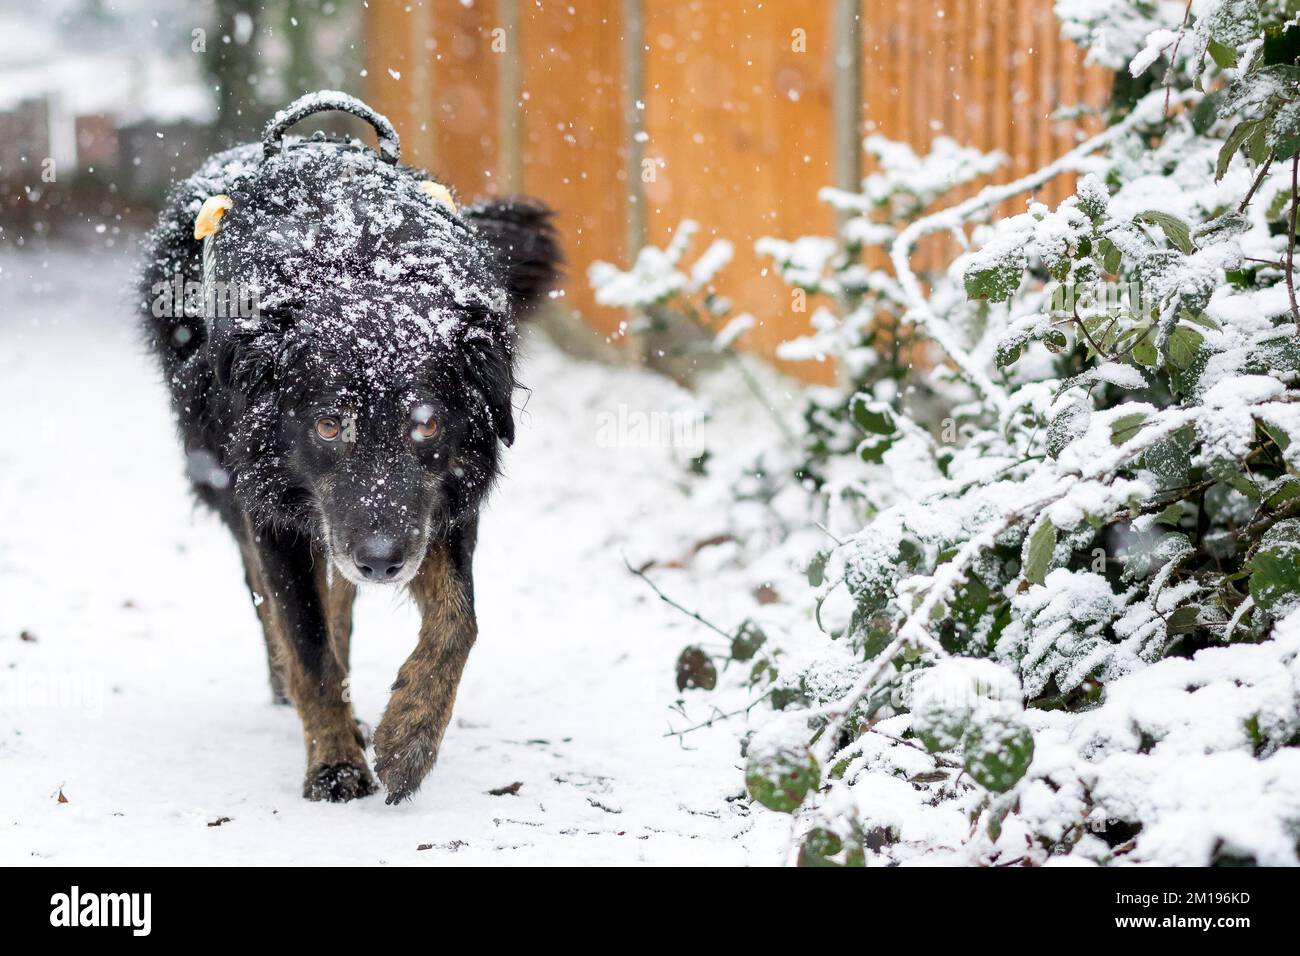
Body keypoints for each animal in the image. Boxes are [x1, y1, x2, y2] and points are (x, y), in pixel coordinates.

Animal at [139, 93, 561, 806]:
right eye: (329, 427)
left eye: (427, 427)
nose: (383, 562)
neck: (357, 265)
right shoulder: (275, 505)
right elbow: (306, 643)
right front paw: (334, 761)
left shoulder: (441, 503)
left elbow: (459, 621)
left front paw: (410, 736)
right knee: (272, 598)